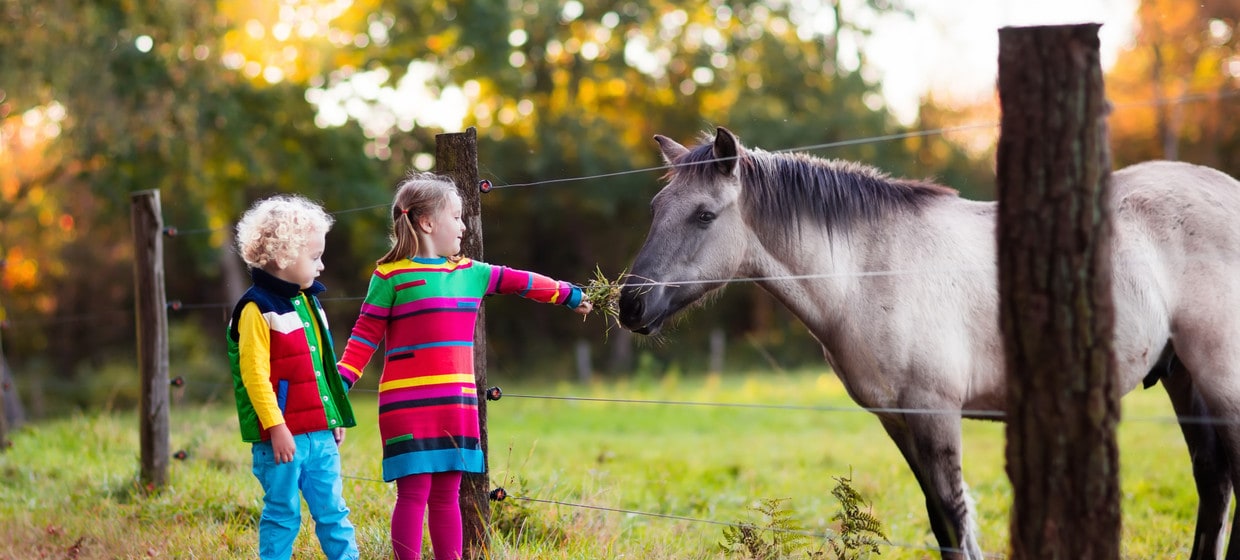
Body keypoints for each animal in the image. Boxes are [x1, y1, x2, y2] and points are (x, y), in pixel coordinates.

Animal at [616, 127, 1240, 560]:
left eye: (704, 216)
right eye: (655, 210)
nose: (630, 305)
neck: (871, 270)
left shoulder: (936, 413)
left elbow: (956, 517)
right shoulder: (899, 419)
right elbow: (940, 522)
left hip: (1219, 380)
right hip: (1184, 378)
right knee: (1213, 482)